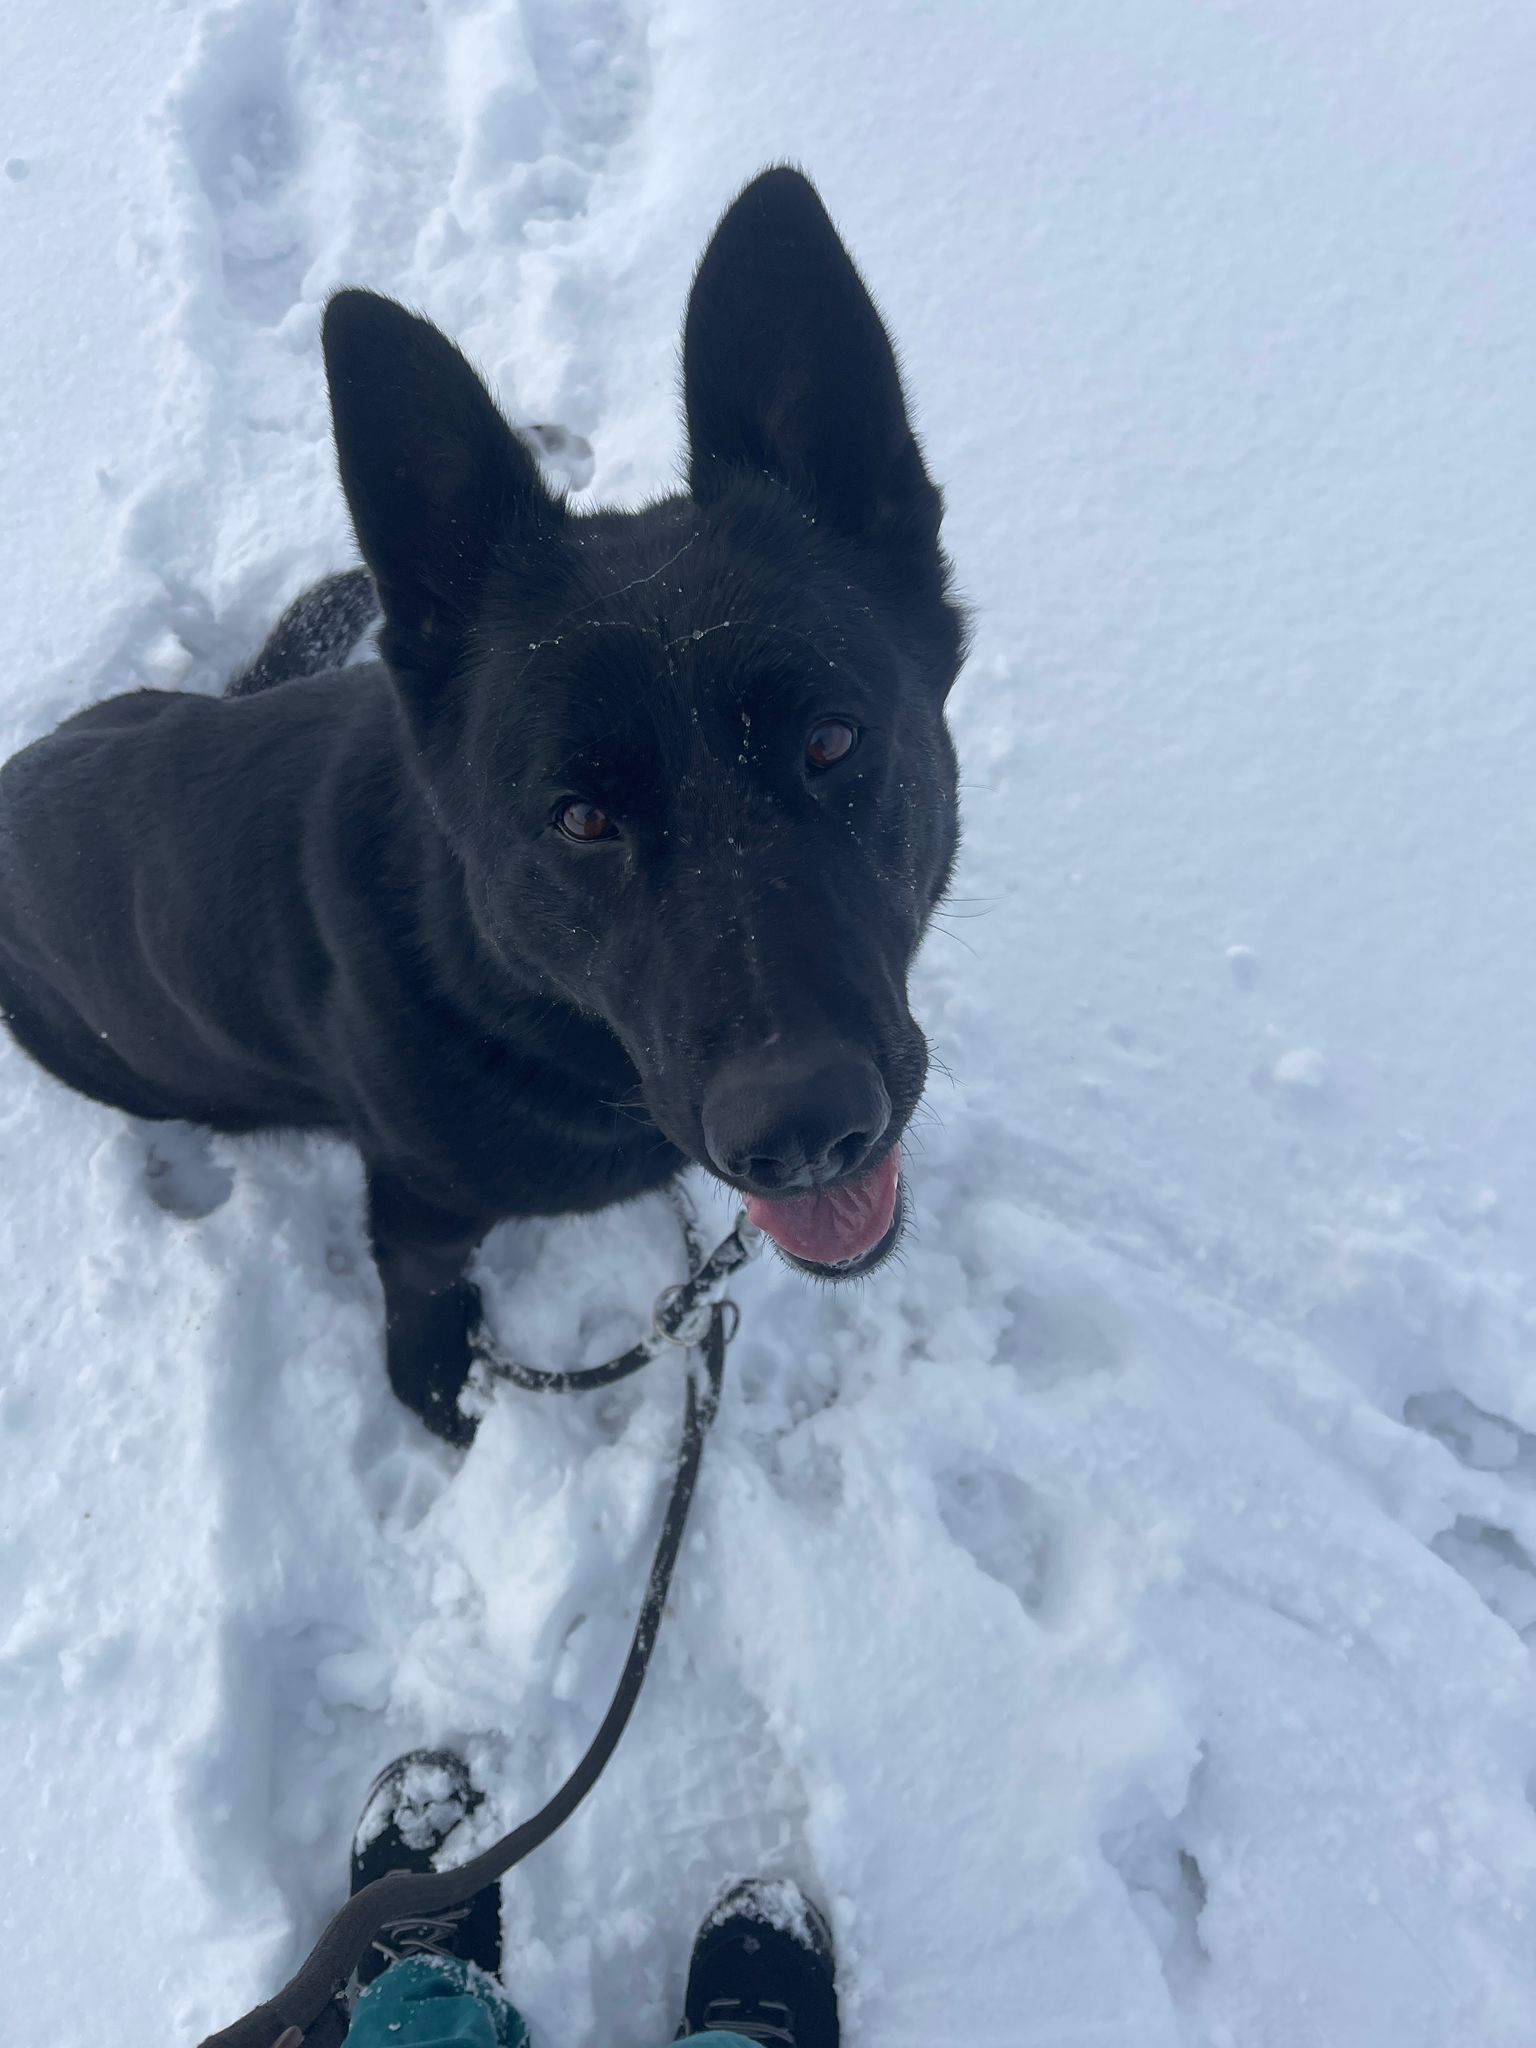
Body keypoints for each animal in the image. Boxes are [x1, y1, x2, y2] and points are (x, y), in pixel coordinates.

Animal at [0, 168, 965, 1444]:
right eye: (580, 818)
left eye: (830, 739)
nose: (803, 1133)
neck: (495, 976)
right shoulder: (420, 1201)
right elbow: (421, 1298)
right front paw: (441, 1387)